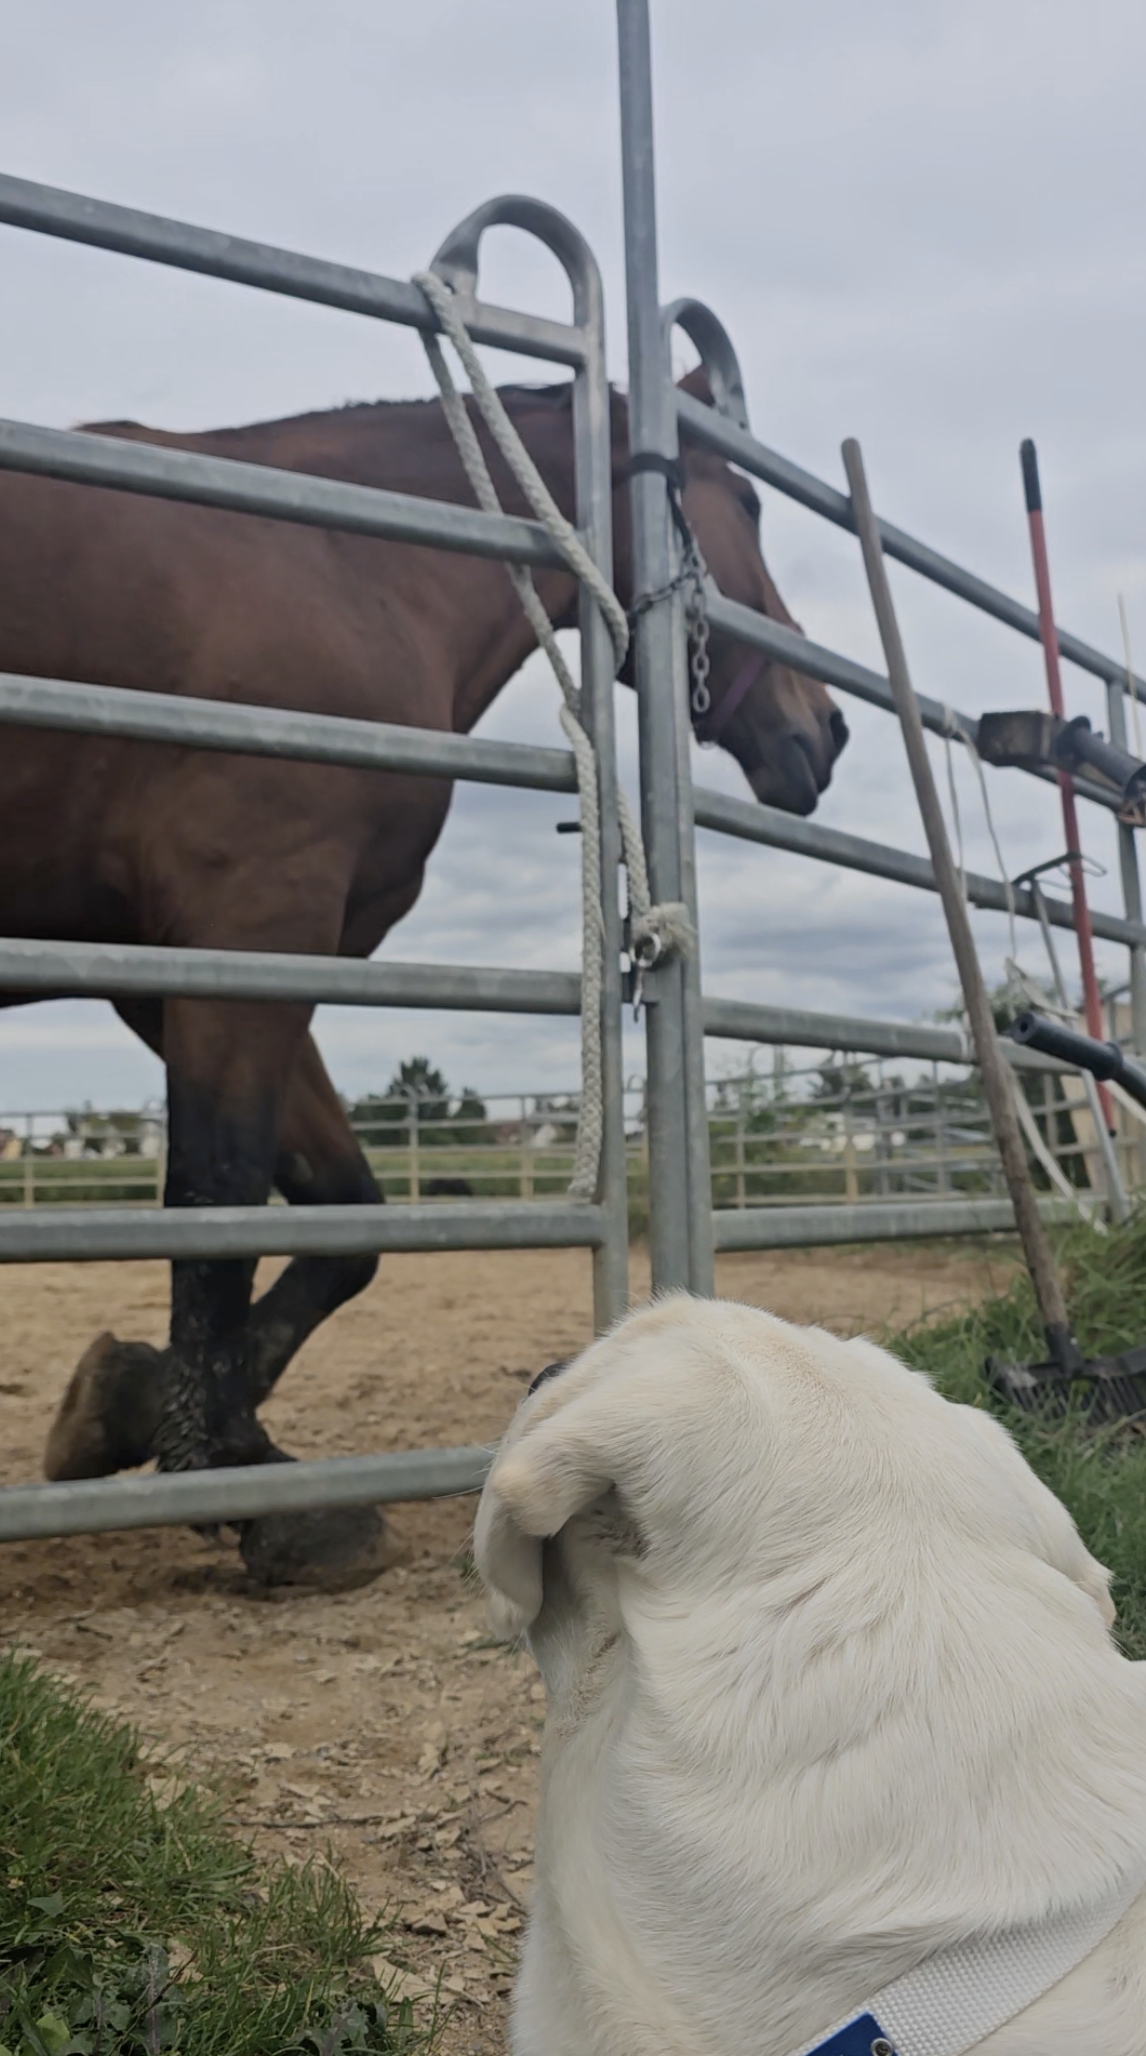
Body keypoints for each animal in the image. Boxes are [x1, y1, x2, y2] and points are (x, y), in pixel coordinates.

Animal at [0, 368, 847, 1583]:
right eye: (747, 502)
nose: (824, 729)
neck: (340, 562)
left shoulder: (187, 969)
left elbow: (341, 1216)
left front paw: (137, 1410)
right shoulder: (252, 927)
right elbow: (216, 1196)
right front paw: (235, 1483)